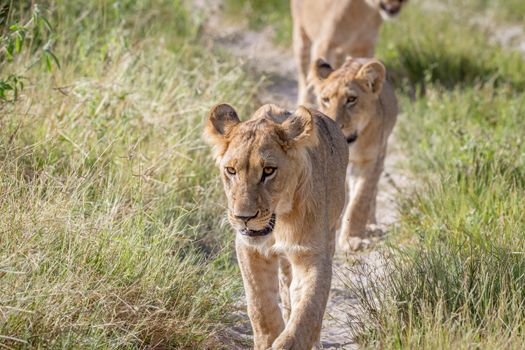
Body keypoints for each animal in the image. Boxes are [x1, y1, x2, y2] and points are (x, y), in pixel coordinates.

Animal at [205, 102, 348, 348]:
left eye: (269, 171)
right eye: (231, 171)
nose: (243, 217)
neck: (278, 223)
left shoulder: (311, 254)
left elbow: (308, 309)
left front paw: (289, 342)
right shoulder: (249, 249)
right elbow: (260, 306)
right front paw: (267, 341)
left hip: (330, 233)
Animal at [308, 56, 398, 249]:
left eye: (351, 99)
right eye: (325, 99)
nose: (334, 125)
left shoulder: (369, 161)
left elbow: (360, 200)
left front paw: (353, 238)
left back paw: (371, 225)